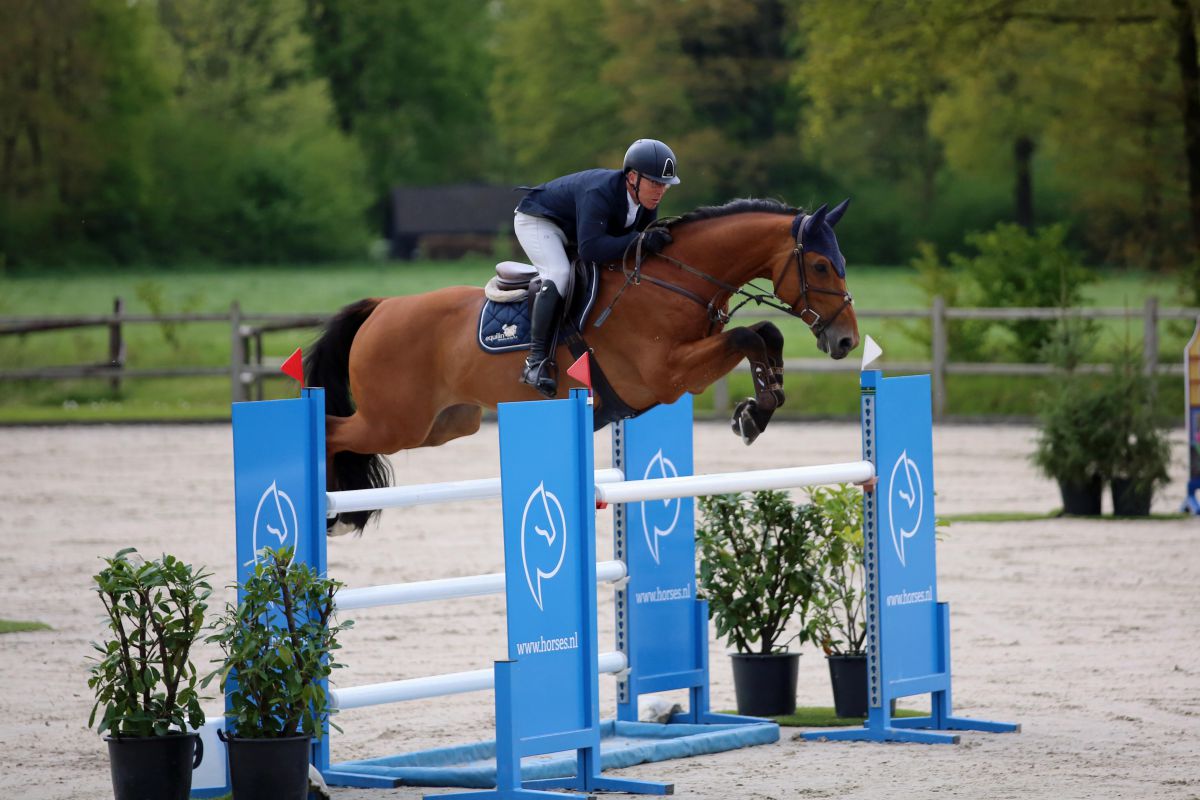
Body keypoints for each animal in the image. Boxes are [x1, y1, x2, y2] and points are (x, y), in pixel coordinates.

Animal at [304, 195, 859, 532]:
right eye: (819, 265)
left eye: (841, 263)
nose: (846, 340)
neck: (674, 280)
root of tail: (381, 307)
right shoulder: (667, 374)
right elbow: (747, 335)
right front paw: (753, 412)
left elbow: (766, 334)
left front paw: (758, 408)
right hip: (393, 422)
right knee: (331, 430)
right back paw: (329, 512)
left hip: (443, 424)